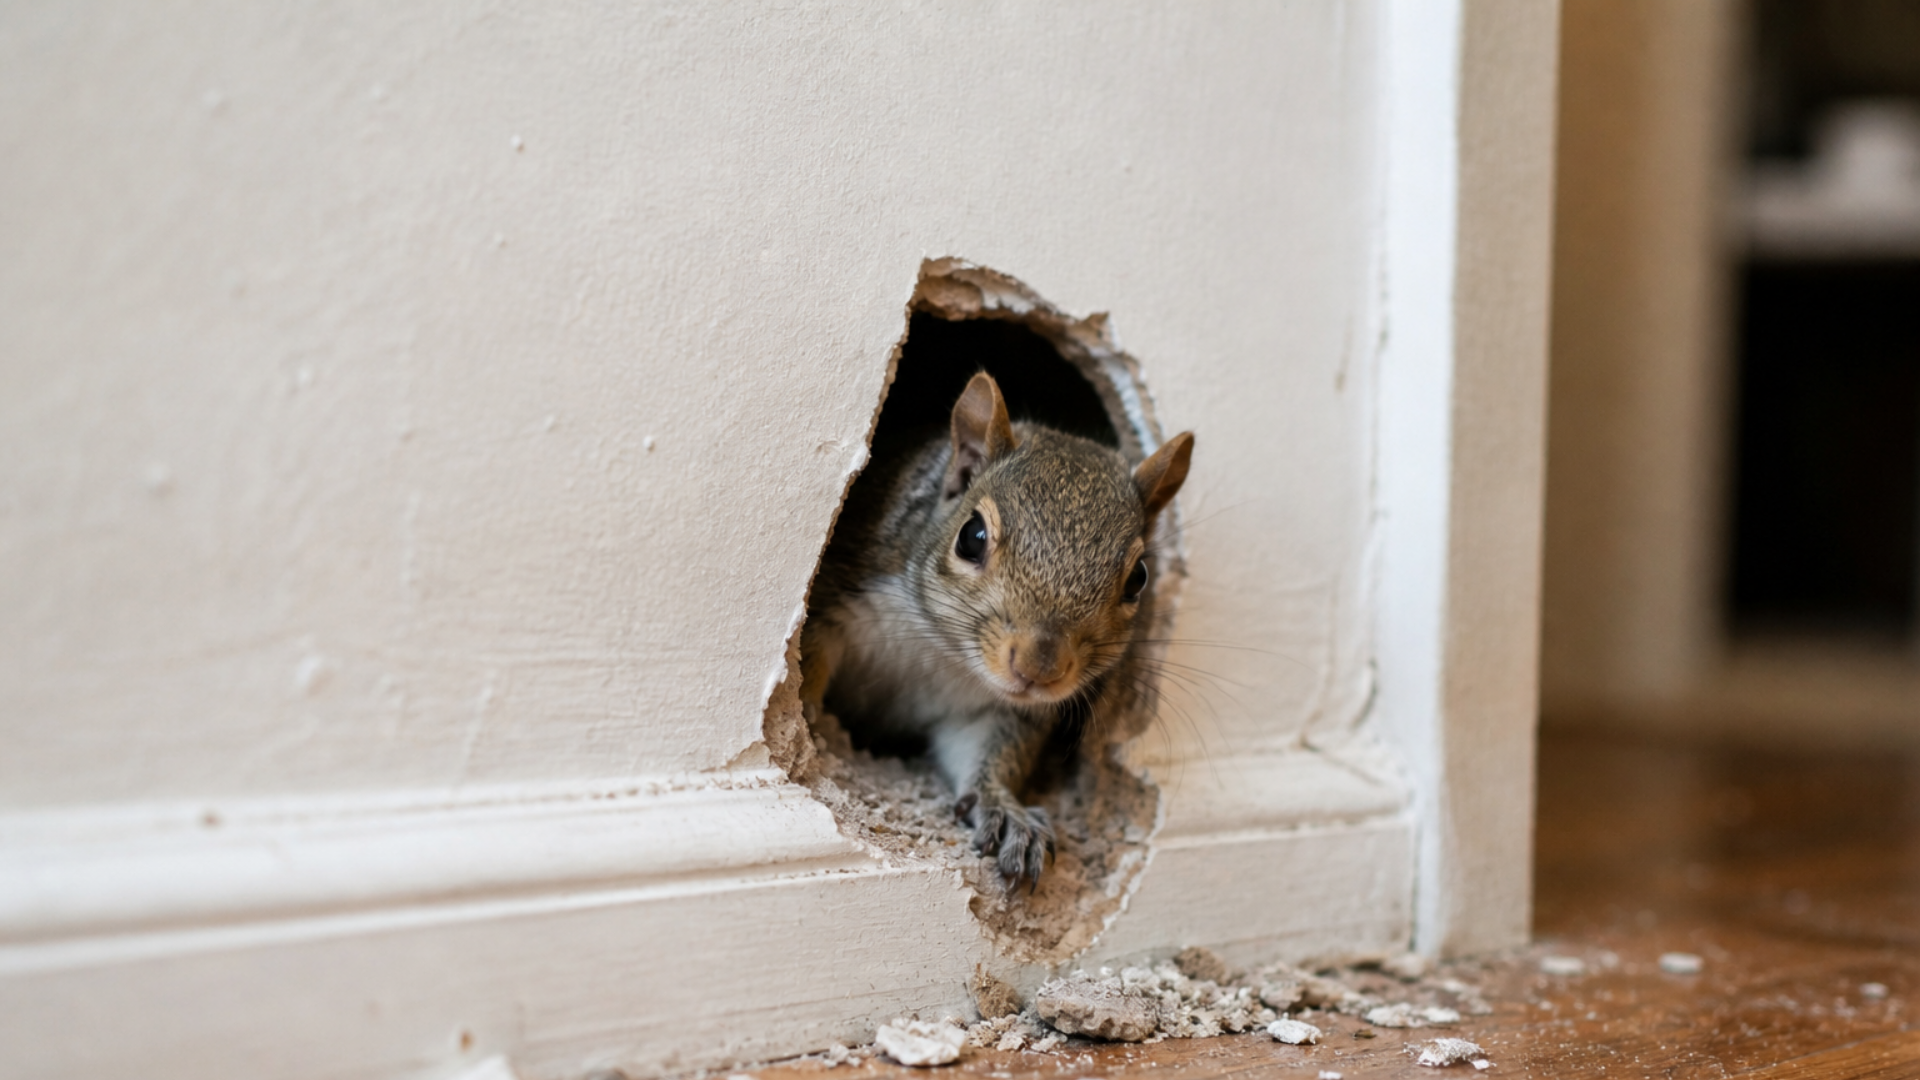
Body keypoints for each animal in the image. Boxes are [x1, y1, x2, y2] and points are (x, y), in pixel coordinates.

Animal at [802, 370, 1194, 889]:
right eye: (971, 536)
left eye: (1139, 579)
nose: (1039, 669)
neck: (943, 652)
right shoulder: (843, 585)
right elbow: (808, 658)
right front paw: (808, 719)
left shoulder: (995, 710)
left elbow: (988, 750)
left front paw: (1006, 812)